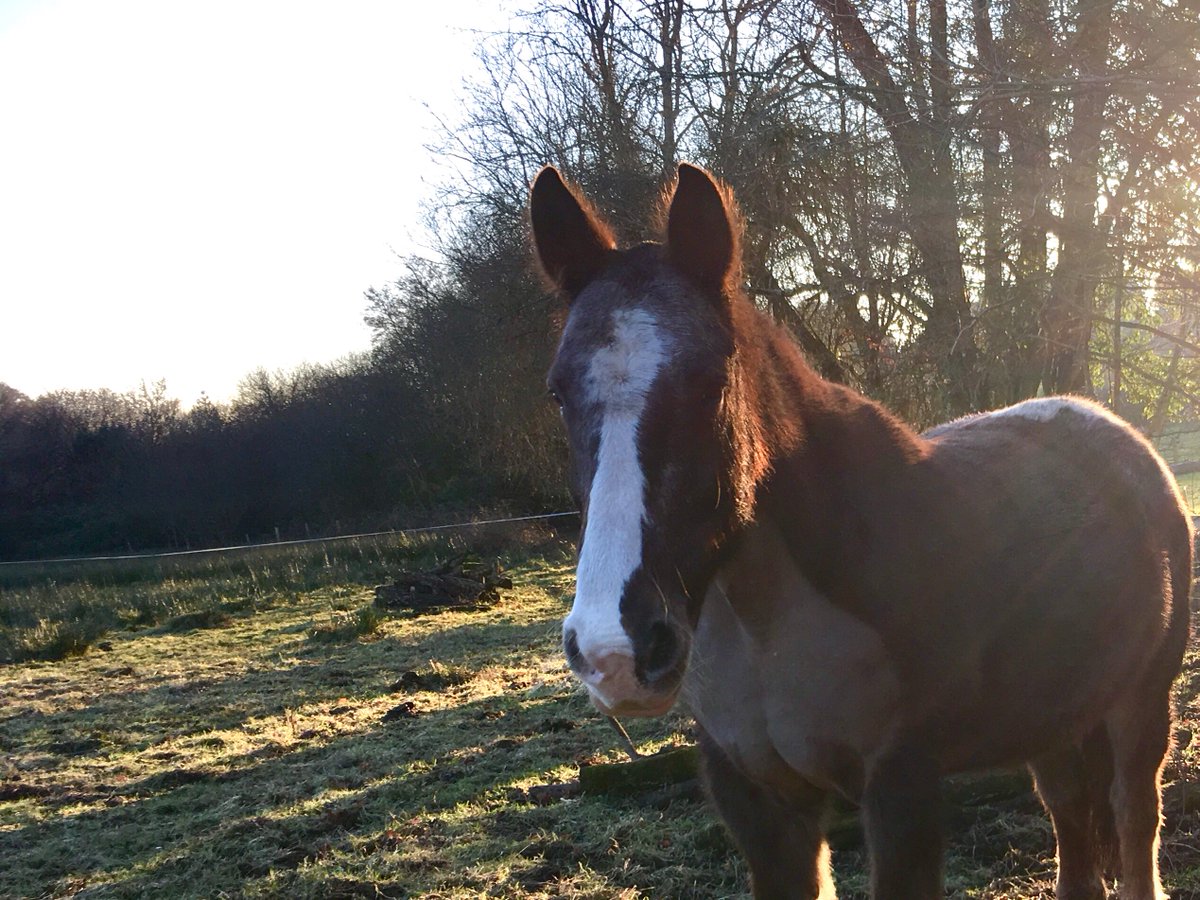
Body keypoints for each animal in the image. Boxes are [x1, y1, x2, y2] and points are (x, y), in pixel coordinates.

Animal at [529, 162, 1192, 899]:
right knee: (1071, 816)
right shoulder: (761, 804)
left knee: (1133, 819)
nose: (616, 651)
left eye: (710, 383)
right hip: (1051, 716)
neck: (765, 630)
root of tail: (1124, 441)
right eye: (558, 391)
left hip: (1143, 701)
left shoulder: (900, 787)